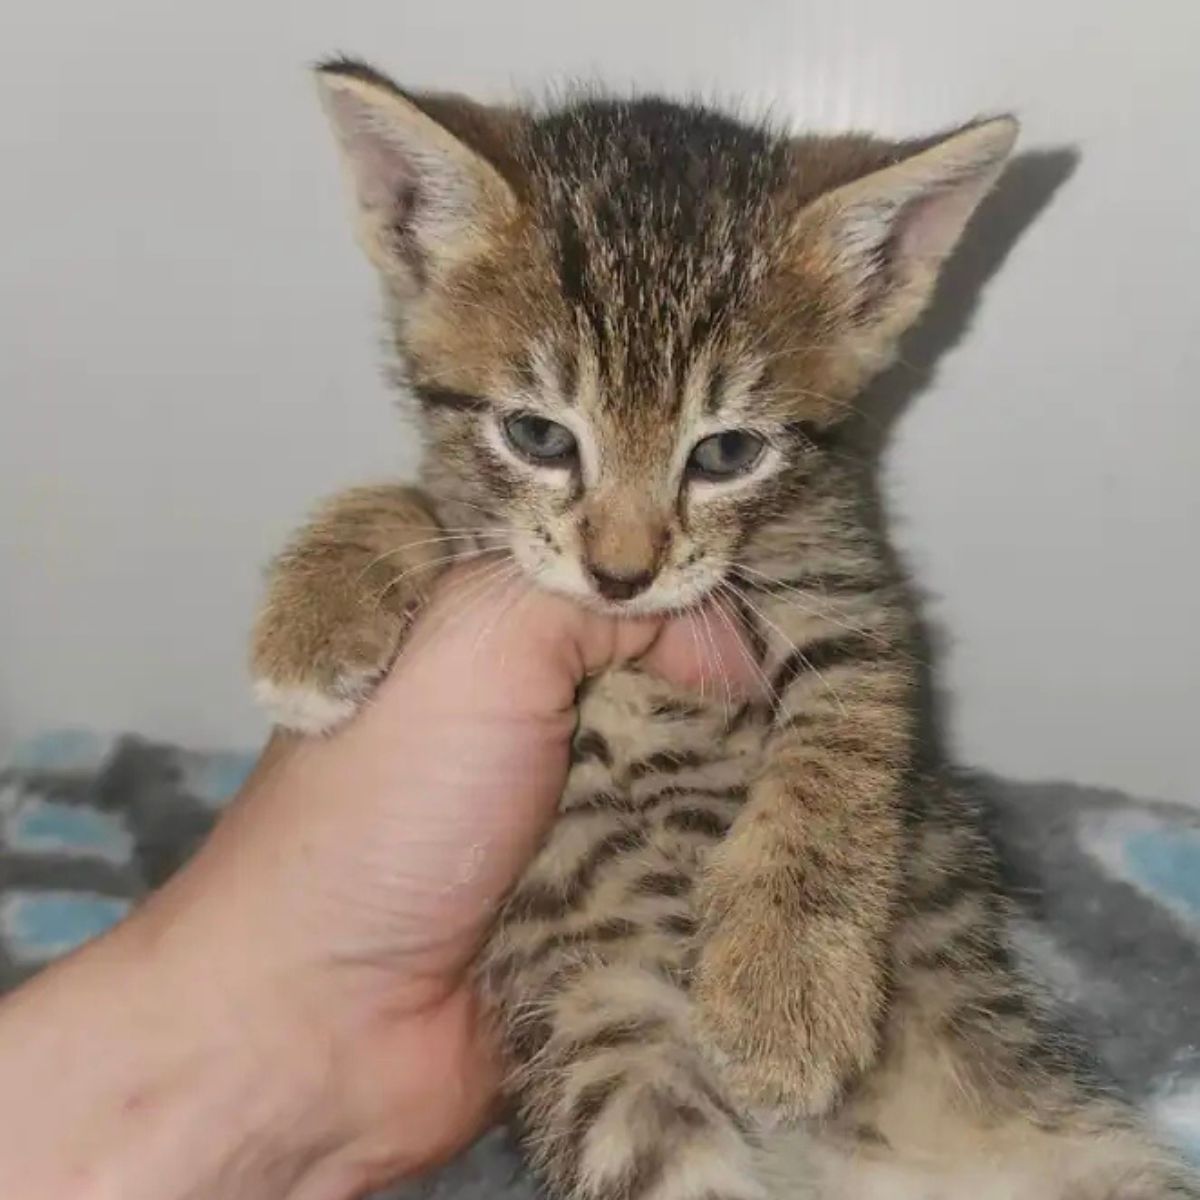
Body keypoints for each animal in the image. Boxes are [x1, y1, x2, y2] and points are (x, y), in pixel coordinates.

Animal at [248, 60, 1195, 1200]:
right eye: (537, 435)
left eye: (727, 453)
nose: (621, 575)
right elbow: (416, 506)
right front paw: (316, 612)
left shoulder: (853, 592)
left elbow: (842, 743)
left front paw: (785, 995)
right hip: (620, 1069)